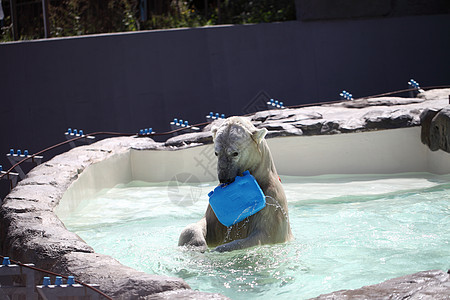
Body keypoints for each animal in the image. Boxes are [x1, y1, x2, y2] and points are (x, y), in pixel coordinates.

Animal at [178, 116, 294, 252]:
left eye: (235, 153)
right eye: (216, 153)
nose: (224, 179)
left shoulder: (272, 202)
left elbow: (264, 235)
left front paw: (220, 249)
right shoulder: (214, 210)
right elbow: (204, 225)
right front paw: (197, 244)